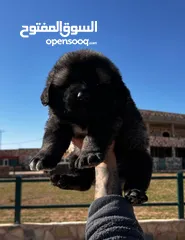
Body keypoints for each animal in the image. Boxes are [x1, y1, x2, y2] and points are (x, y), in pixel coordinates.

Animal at [29, 48, 153, 204]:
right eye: (67, 83)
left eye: (99, 84)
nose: (83, 96)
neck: (83, 119)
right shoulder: (56, 121)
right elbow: (51, 140)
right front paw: (42, 157)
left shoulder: (107, 119)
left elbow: (94, 136)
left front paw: (89, 153)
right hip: (73, 160)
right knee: (85, 181)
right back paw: (66, 181)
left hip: (138, 156)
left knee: (138, 175)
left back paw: (135, 193)